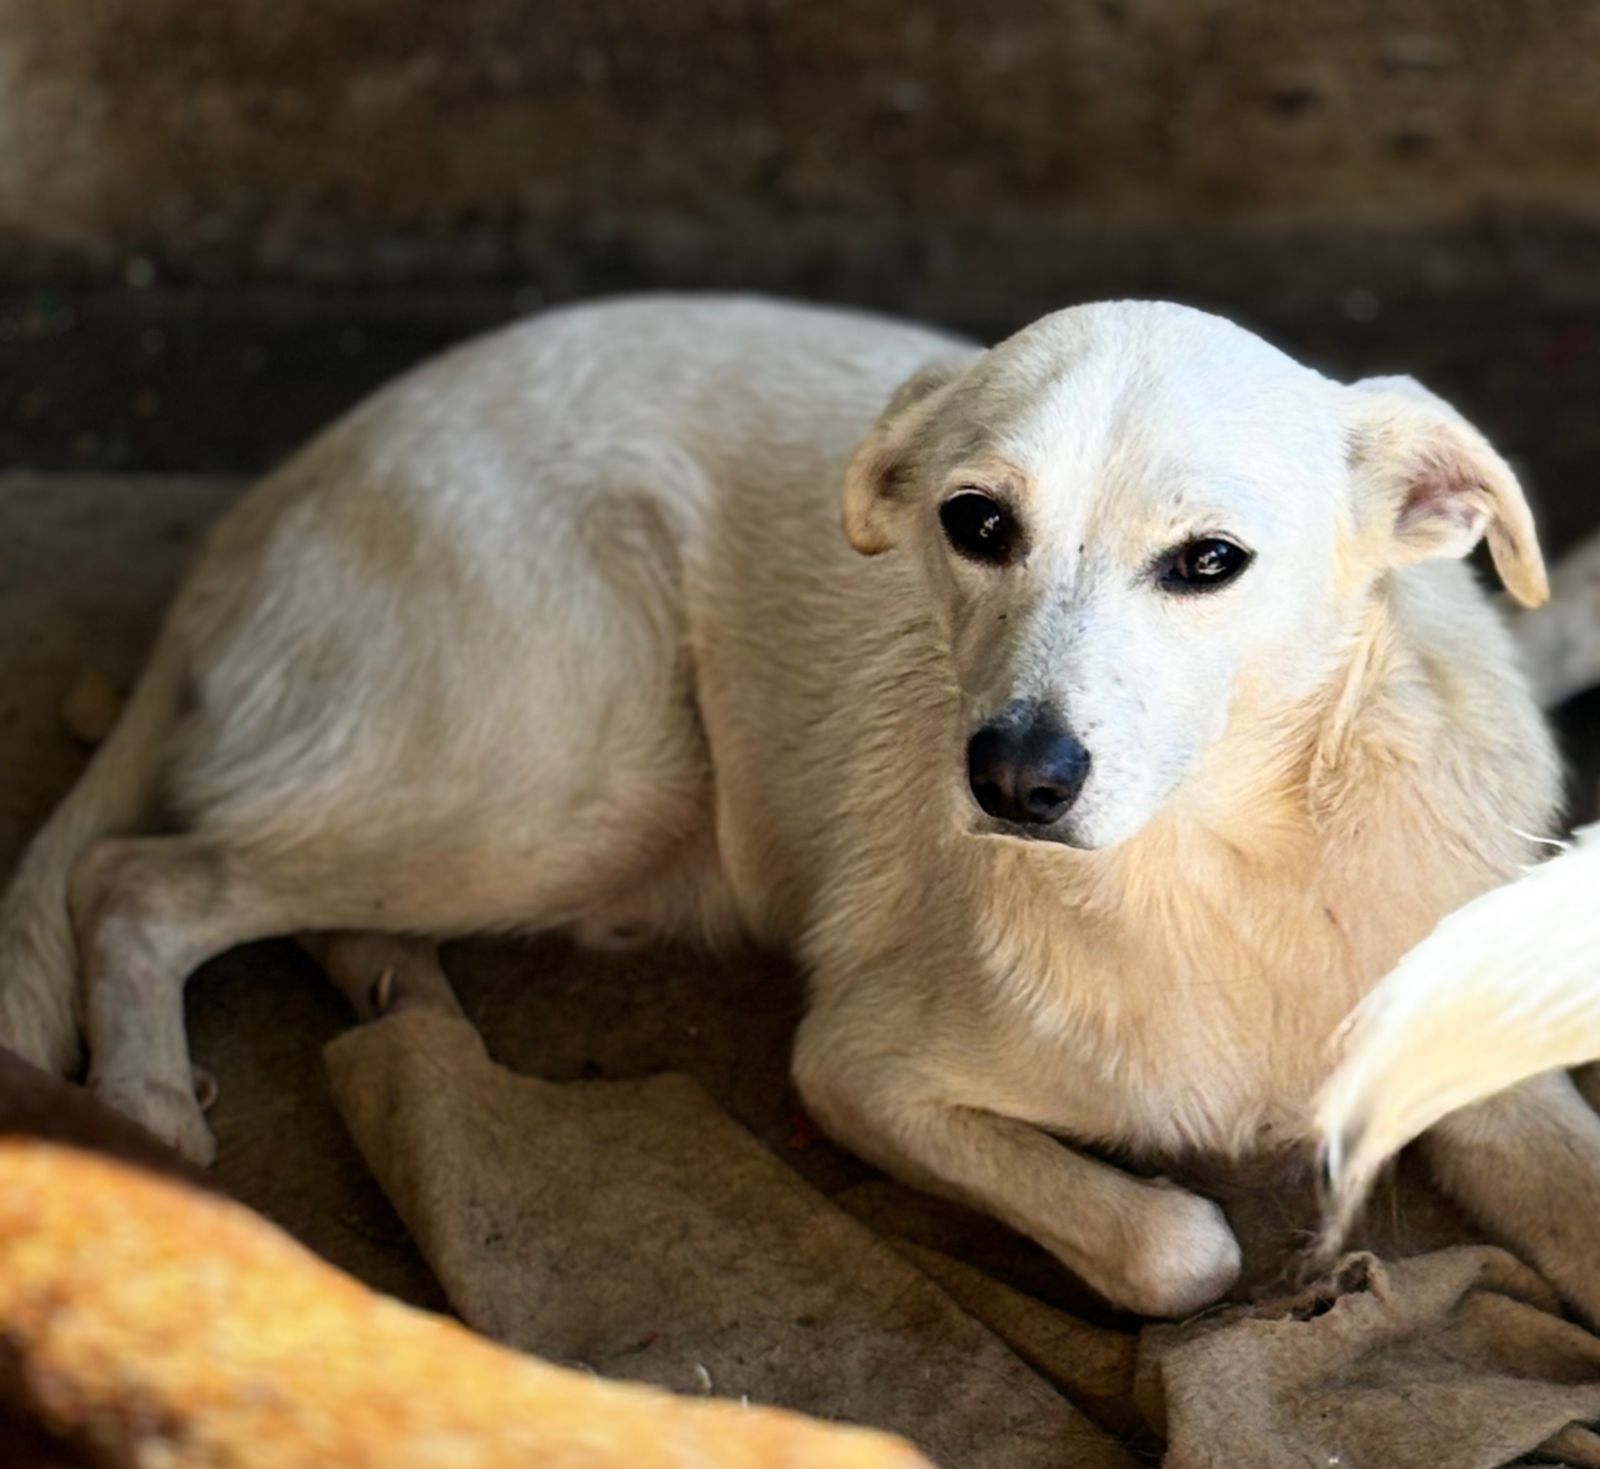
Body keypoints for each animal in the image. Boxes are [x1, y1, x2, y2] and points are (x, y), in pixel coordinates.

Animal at [3, 299, 1600, 1324]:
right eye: (975, 523)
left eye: (1210, 559)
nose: (1013, 776)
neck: (1239, 860)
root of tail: (271, 494)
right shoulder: (856, 1069)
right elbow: (1177, 1249)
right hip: (582, 772)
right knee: (136, 876)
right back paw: (145, 1107)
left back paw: (387, 985)